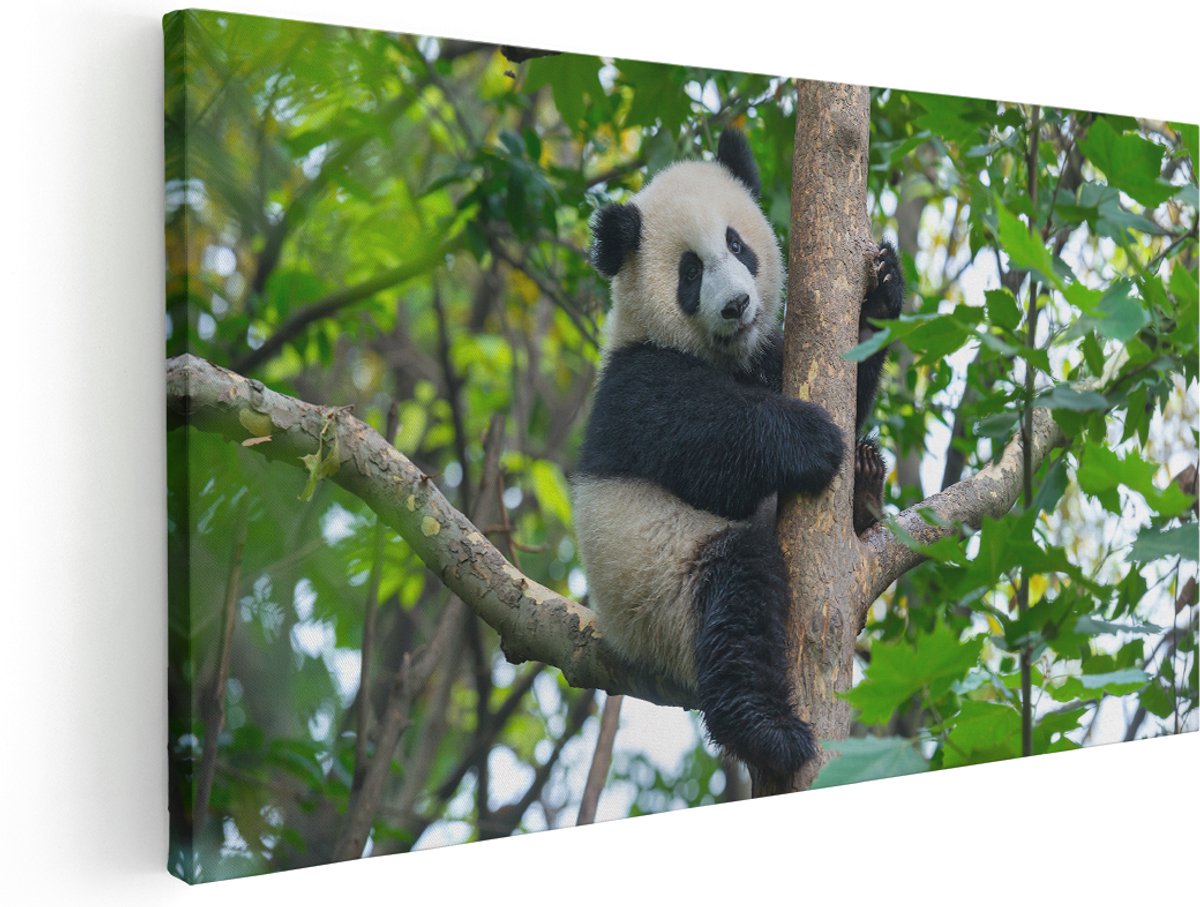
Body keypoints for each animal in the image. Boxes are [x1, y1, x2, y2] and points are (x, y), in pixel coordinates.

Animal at [573, 129, 902, 782]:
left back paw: (865, 489)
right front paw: (811, 439)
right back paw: (768, 731)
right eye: (690, 271)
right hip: (660, 587)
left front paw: (880, 290)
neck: (719, 353)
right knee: (737, 594)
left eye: (736, 244)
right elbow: (706, 448)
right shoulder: (636, 384)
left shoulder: (766, 358)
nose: (736, 305)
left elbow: (849, 374)